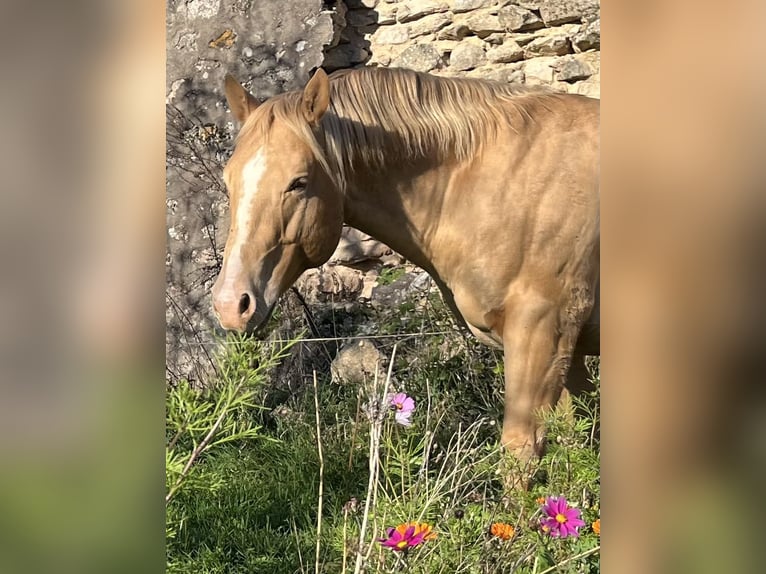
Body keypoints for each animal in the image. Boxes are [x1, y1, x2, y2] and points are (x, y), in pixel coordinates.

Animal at [210, 66, 600, 464]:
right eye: (229, 179)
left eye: (298, 182)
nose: (231, 304)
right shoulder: (568, 351)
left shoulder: (541, 333)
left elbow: (521, 452)